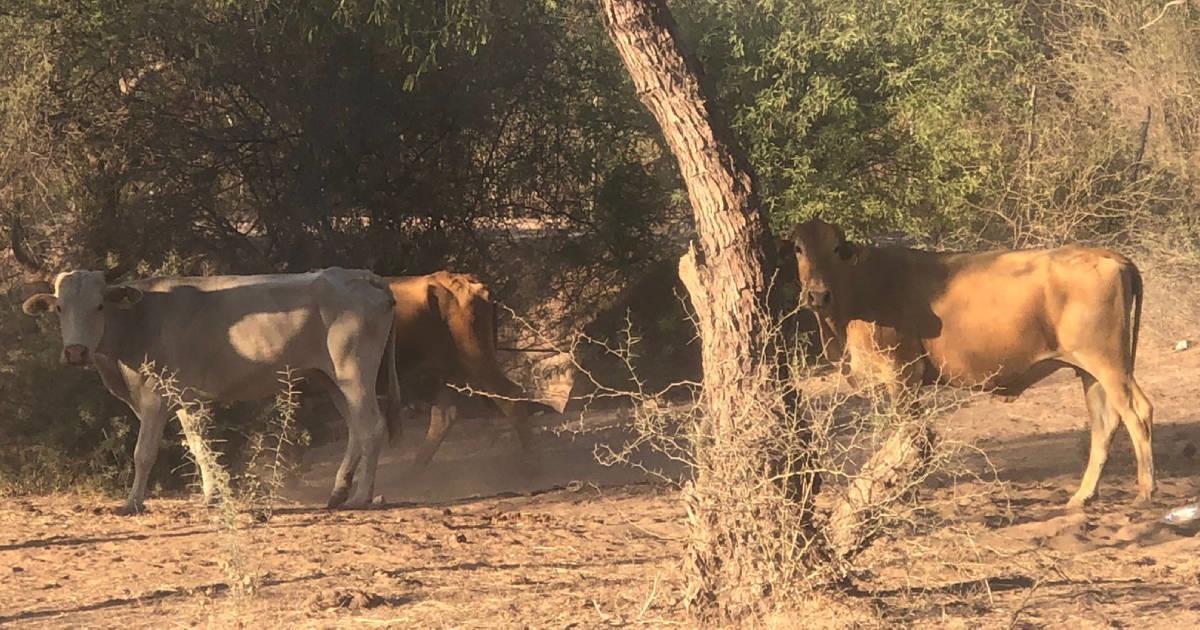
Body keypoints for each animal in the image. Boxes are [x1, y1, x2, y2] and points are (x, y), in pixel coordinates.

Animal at [386, 270, 537, 470]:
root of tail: (468, 280)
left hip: (475, 358)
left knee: (509, 396)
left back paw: (532, 465)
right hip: (452, 368)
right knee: (444, 416)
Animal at [787, 217, 1152, 506]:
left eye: (836, 248)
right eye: (798, 248)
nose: (817, 294)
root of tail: (1108, 256)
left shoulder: (902, 372)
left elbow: (910, 433)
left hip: (1109, 364)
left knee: (1137, 411)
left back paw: (1145, 491)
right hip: (1090, 371)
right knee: (1105, 423)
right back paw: (1083, 495)